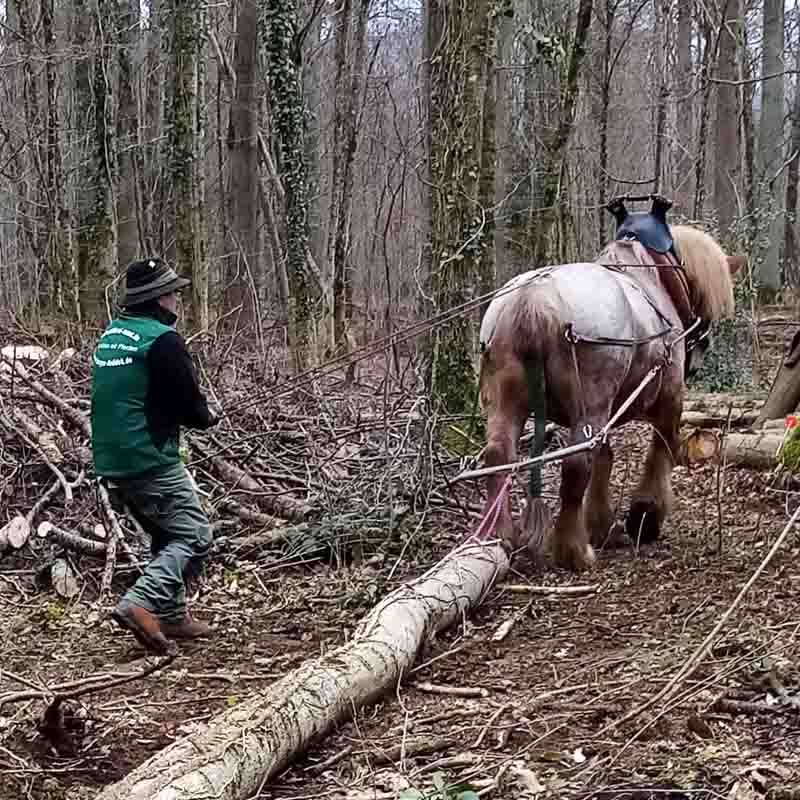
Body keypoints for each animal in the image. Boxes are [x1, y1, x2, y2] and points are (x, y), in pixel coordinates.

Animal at [476, 197, 744, 572]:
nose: (700, 352)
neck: (656, 276)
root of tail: (535, 300)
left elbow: (606, 456)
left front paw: (602, 523)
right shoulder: (669, 399)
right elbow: (661, 450)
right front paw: (645, 516)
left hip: (509, 398)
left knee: (498, 454)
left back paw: (499, 535)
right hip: (591, 403)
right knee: (576, 465)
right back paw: (573, 549)